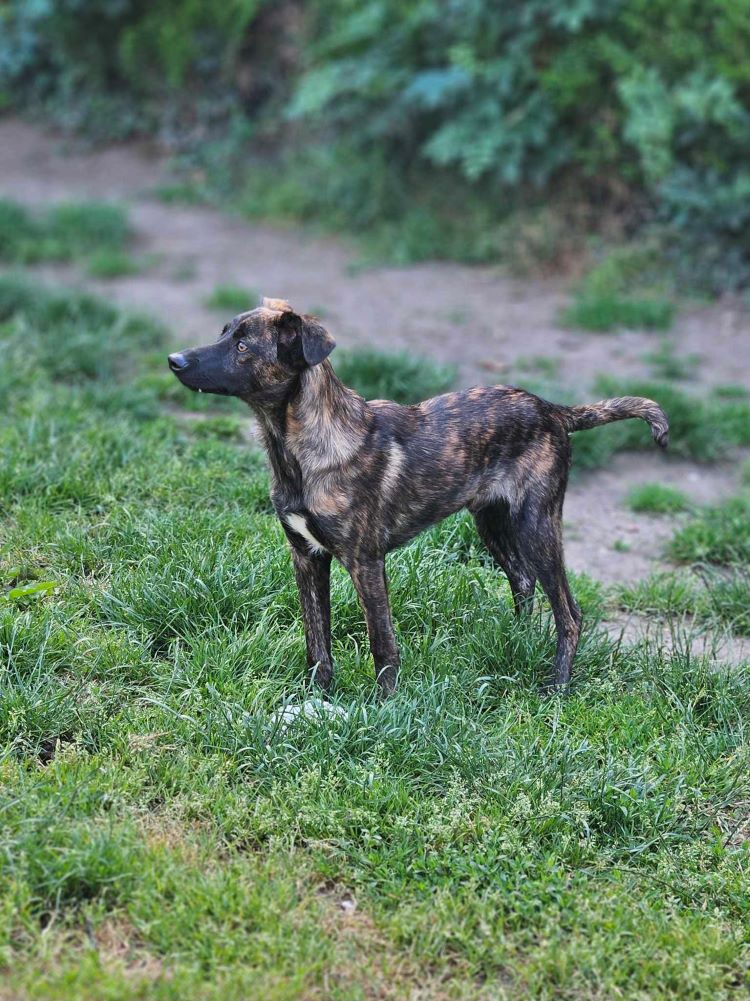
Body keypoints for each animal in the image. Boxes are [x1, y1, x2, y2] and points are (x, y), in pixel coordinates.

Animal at [169, 296, 668, 696]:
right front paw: (316, 699)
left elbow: (382, 644)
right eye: (223, 333)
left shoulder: (366, 563)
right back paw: (517, 641)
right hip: (492, 521)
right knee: (522, 581)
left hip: (537, 524)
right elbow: (317, 642)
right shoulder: (306, 557)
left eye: (242, 347)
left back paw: (557, 686)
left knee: (569, 612)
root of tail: (553, 410)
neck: (300, 450)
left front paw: (385, 708)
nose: (173, 360)